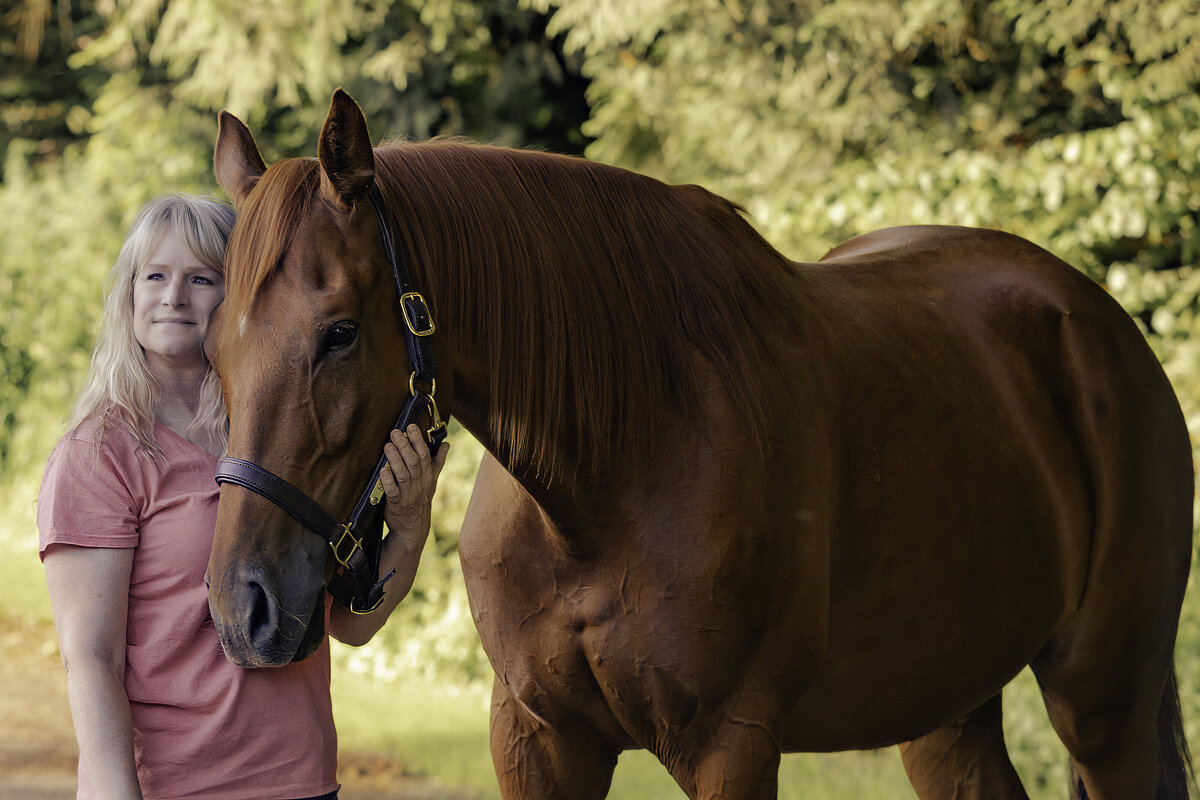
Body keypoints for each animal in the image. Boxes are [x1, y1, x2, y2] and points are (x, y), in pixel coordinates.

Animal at [204, 89, 1190, 800]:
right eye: (215, 346)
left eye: (338, 332)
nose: (242, 609)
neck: (612, 470)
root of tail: (1095, 321)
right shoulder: (537, 740)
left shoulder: (732, 745)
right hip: (948, 708)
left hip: (1104, 700)